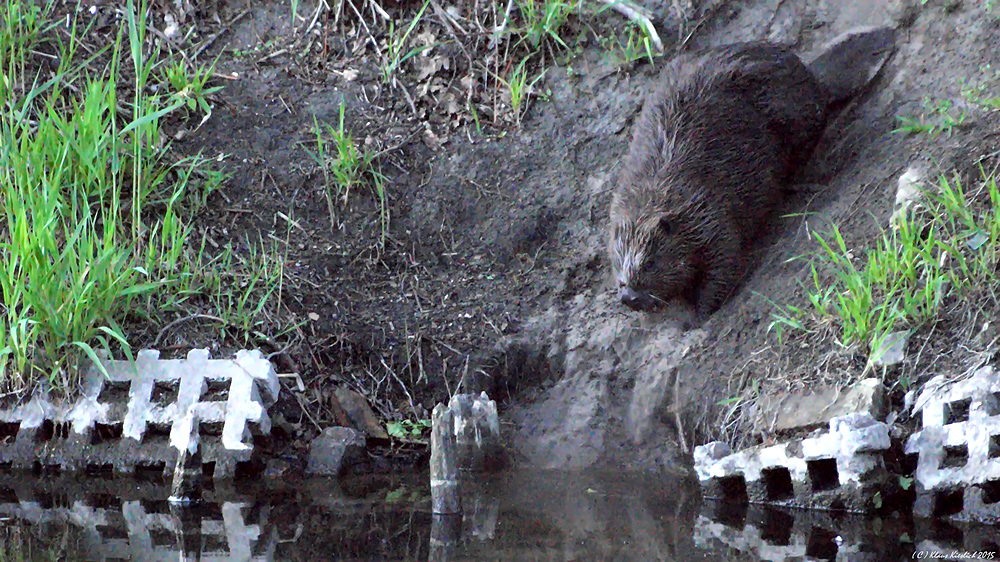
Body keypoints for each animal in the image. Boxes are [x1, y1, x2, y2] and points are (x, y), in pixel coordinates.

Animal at [608, 27, 900, 316]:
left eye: (650, 263)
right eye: (617, 265)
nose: (628, 297)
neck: (658, 192)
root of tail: (813, 78)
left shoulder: (710, 212)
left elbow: (724, 260)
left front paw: (698, 313)